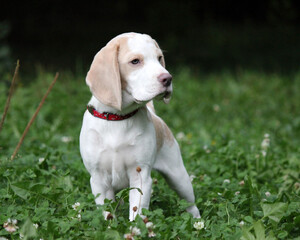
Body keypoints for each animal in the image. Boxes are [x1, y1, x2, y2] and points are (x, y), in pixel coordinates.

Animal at [80, 32, 202, 220]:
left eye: (159, 58)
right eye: (135, 61)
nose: (168, 78)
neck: (119, 118)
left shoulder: (140, 176)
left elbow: (137, 212)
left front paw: (134, 226)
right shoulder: (99, 180)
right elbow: (108, 213)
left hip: (179, 178)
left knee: (191, 205)